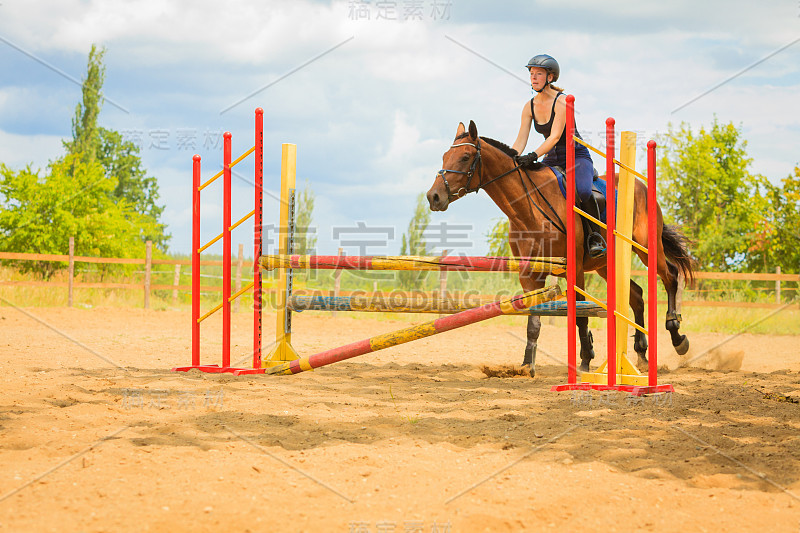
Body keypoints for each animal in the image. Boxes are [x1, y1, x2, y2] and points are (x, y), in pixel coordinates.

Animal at [424, 122, 692, 376]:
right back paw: (641, 355)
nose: (433, 197)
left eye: (465, 157)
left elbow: (581, 314)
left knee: (670, 276)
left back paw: (677, 337)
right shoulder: (529, 275)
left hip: (646, 250)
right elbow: (533, 321)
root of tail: (642, 186)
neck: (528, 208)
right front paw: (526, 365)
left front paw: (585, 360)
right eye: (445, 156)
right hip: (608, 263)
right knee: (636, 295)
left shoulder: (576, 268)